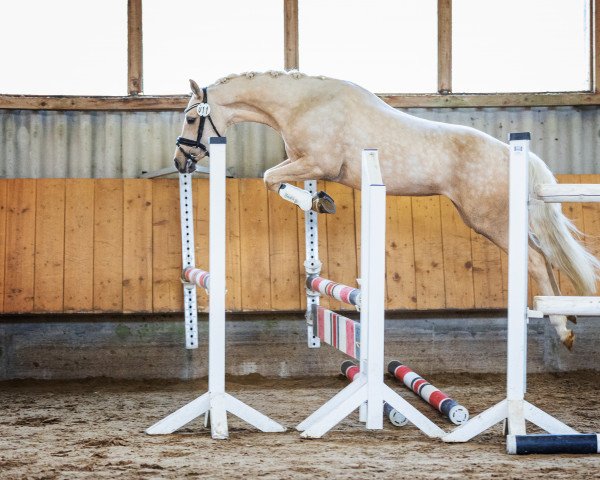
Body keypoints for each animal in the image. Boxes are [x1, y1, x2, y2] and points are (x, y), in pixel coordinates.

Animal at [175, 70, 600, 348]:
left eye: (193, 117)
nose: (181, 162)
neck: (305, 104)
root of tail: (514, 155)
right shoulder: (306, 164)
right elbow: (276, 180)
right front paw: (319, 202)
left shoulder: (316, 163)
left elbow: (269, 177)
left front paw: (317, 201)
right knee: (546, 257)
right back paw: (566, 315)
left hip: (491, 221)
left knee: (534, 260)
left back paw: (563, 330)